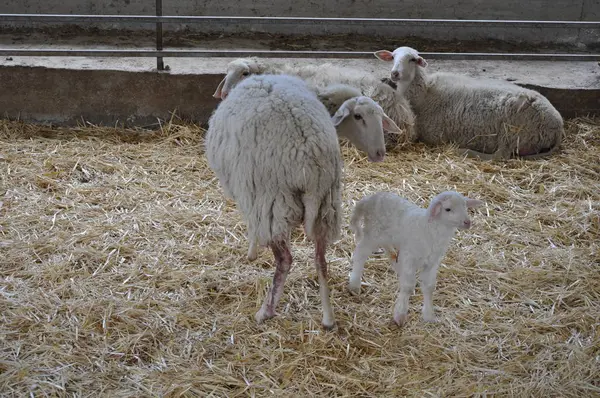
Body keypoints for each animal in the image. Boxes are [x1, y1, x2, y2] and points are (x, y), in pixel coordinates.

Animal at [206, 73, 346, 328]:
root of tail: (311, 162)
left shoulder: (250, 195)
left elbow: (252, 228)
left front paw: (251, 252)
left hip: (272, 201)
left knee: (285, 260)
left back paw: (265, 312)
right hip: (325, 207)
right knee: (320, 259)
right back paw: (328, 318)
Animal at [350, 190, 486, 326]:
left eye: (465, 206)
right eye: (448, 209)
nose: (467, 222)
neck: (429, 228)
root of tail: (369, 199)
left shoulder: (432, 262)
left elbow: (429, 287)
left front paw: (429, 315)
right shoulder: (410, 256)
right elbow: (407, 287)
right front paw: (400, 315)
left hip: (385, 236)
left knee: (388, 250)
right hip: (373, 233)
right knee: (360, 253)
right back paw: (354, 284)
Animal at [372, 45, 564, 159]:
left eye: (412, 59)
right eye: (393, 57)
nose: (394, 74)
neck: (424, 91)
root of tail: (558, 126)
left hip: (513, 134)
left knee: (500, 156)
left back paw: (463, 151)